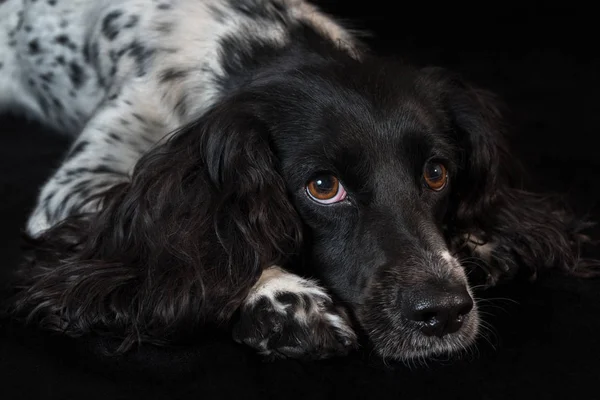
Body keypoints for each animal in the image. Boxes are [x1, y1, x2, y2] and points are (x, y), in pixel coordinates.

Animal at [0, 0, 592, 362]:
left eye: (436, 173)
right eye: (323, 187)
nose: (444, 312)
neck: (254, 37)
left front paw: (484, 236)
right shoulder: (75, 189)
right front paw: (284, 296)